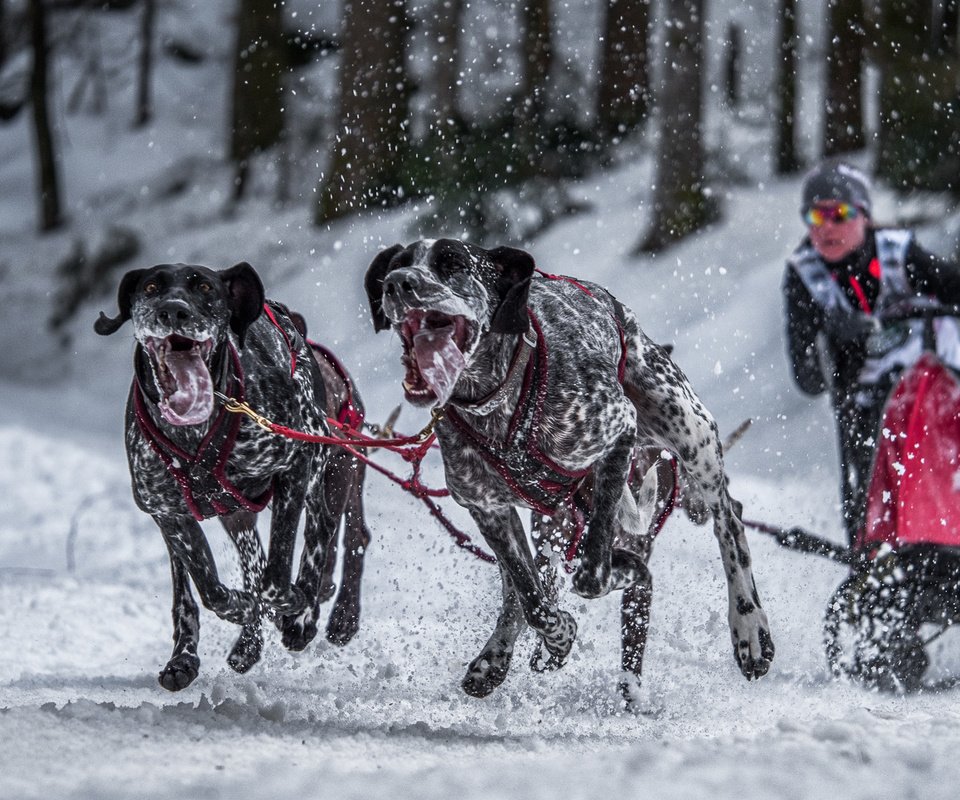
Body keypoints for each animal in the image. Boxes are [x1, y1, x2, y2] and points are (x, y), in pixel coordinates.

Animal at [95, 262, 370, 688]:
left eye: (206, 288)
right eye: (151, 287)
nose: (173, 311)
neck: (194, 434)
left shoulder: (293, 469)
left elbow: (277, 577)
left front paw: (293, 610)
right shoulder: (166, 512)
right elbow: (205, 588)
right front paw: (214, 633)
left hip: (327, 473)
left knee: (329, 536)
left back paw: (317, 616)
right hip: (237, 516)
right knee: (244, 568)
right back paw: (245, 640)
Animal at [364, 239, 776, 708]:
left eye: (452, 264)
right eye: (397, 265)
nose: (398, 283)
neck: (498, 404)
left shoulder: (618, 432)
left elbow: (592, 572)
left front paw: (616, 576)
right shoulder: (488, 509)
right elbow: (531, 598)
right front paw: (557, 638)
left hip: (689, 431)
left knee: (730, 519)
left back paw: (749, 627)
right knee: (520, 586)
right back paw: (496, 657)